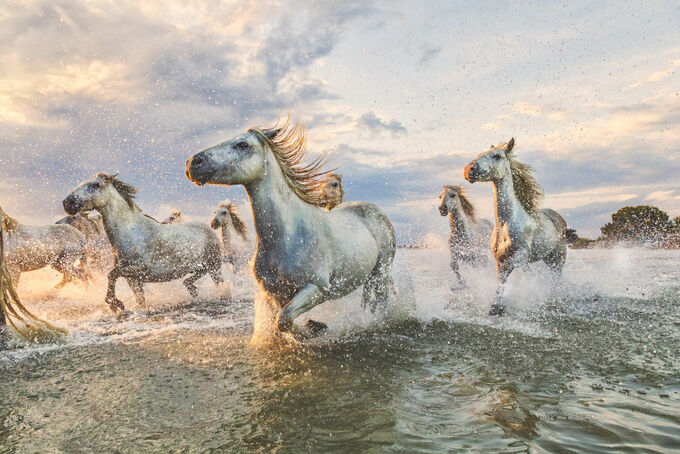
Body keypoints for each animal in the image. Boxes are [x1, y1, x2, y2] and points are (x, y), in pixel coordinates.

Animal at [63, 173, 223, 312]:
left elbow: (111, 274)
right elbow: (139, 300)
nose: (67, 202)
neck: (132, 234)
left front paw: (115, 304)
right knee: (196, 276)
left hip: (214, 266)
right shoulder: (133, 279)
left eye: (95, 185)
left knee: (219, 283)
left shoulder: (139, 269)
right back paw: (192, 289)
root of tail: (207, 228)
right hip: (197, 267)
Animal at [185, 119, 396, 335]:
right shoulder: (276, 293)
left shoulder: (317, 288)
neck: (288, 237)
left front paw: (316, 328)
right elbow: (281, 321)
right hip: (367, 276)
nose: (193, 162)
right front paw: (314, 326)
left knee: (382, 299)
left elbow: (284, 319)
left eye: (242, 144)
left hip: (381, 270)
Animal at [464, 138, 567, 315]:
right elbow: (501, 280)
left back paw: (554, 300)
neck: (506, 224)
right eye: (480, 154)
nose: (469, 170)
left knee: (557, 278)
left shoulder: (521, 255)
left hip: (558, 258)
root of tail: (558, 217)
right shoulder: (498, 259)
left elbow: (511, 270)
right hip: (547, 258)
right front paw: (496, 307)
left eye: (497, 156)